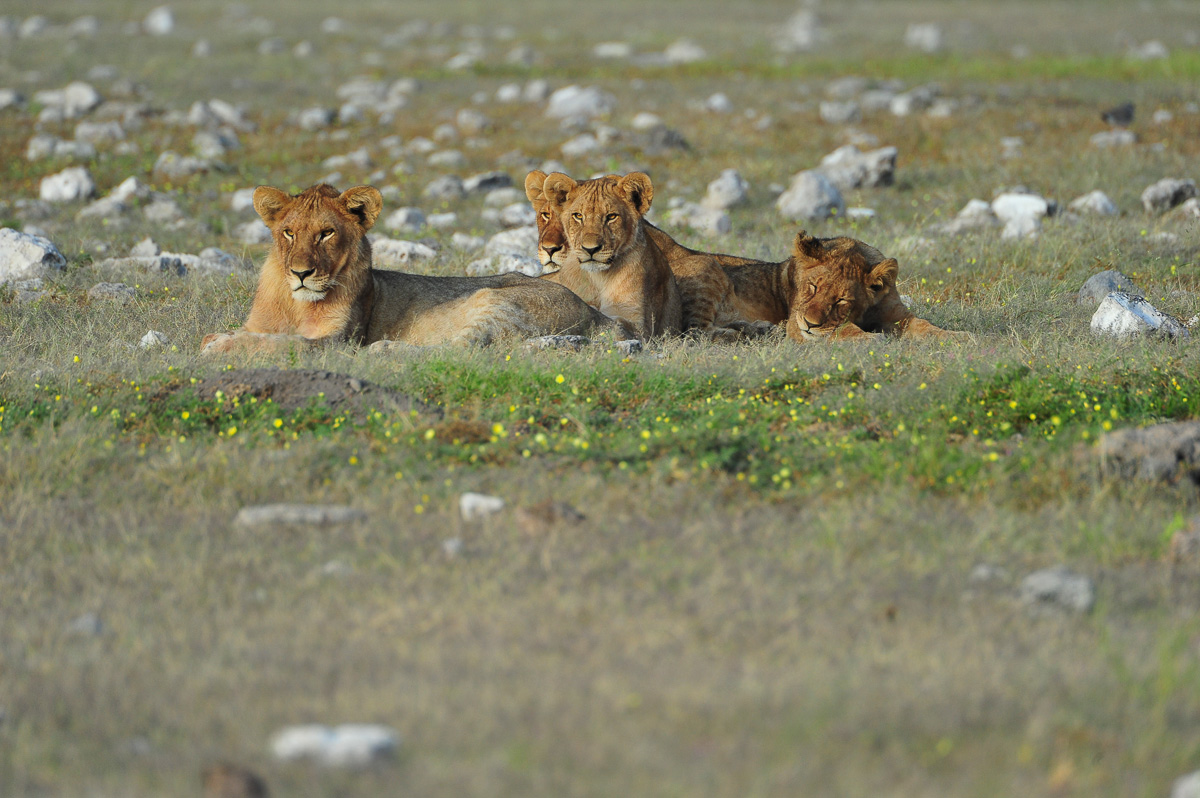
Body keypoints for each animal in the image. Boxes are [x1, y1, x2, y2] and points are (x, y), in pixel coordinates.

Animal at [201, 183, 634, 354]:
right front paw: (219, 337)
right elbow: (258, 334)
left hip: (490, 299)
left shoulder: (338, 341)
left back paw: (386, 350)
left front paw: (220, 345)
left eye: (326, 233)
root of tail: (594, 311)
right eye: (288, 233)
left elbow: (283, 343)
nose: (301, 273)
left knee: (459, 349)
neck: (295, 303)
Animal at [537, 171, 682, 339]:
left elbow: (614, 321)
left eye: (611, 216)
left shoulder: (641, 326)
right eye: (578, 216)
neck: (598, 279)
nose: (590, 249)